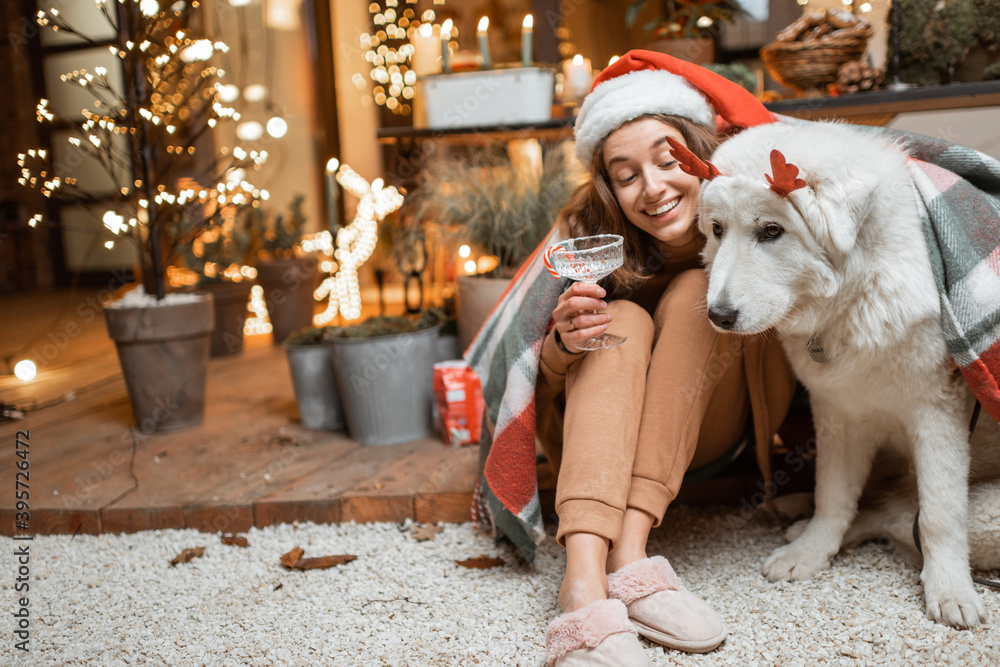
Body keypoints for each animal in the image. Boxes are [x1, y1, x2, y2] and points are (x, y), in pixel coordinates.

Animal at [676, 122, 988, 628]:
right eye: (717, 229)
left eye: (771, 231)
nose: (718, 316)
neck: (855, 297)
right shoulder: (839, 415)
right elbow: (833, 494)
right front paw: (811, 552)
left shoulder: (937, 412)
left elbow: (939, 512)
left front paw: (950, 590)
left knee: (901, 517)